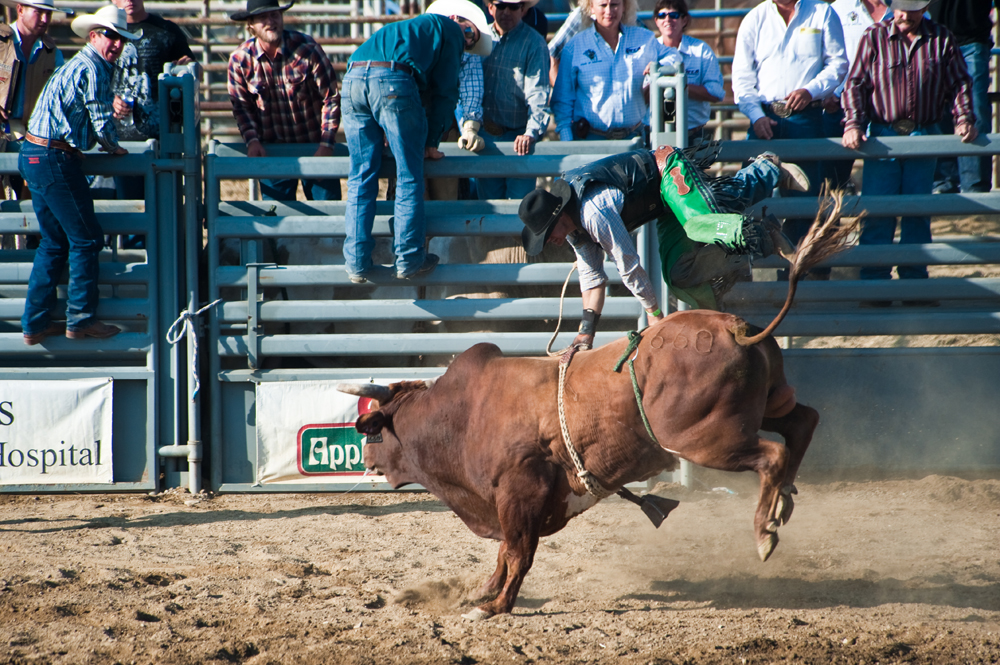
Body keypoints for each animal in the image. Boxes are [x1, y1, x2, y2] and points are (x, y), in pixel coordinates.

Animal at [338, 193, 857, 620]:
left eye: (373, 429)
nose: (365, 459)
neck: (463, 415)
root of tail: (734, 327)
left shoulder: (519, 493)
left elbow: (517, 553)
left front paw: (493, 607)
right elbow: (506, 553)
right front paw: (484, 593)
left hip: (707, 439)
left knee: (771, 454)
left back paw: (765, 530)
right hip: (767, 403)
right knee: (802, 422)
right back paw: (784, 502)